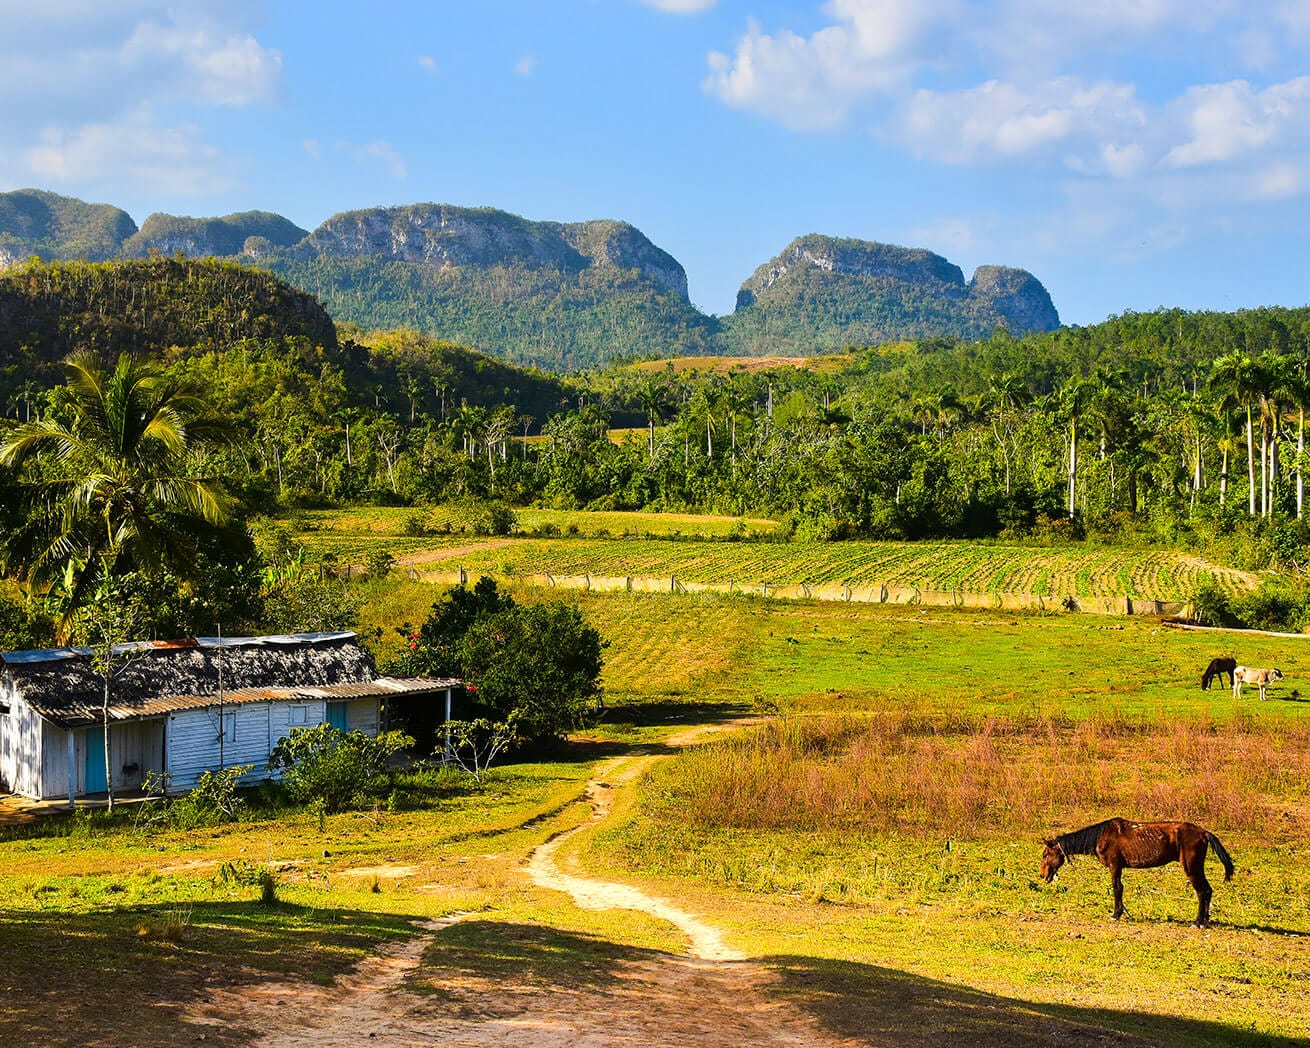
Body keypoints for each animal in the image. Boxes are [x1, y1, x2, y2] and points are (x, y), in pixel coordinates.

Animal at [1037, 817, 1231, 927]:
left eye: (1046, 854)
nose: (1042, 875)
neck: (1101, 836)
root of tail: (1204, 833)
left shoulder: (1115, 865)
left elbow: (1117, 888)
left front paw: (1116, 915)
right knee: (1208, 891)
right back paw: (1205, 921)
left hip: (1191, 868)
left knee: (1202, 892)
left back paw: (1198, 922)